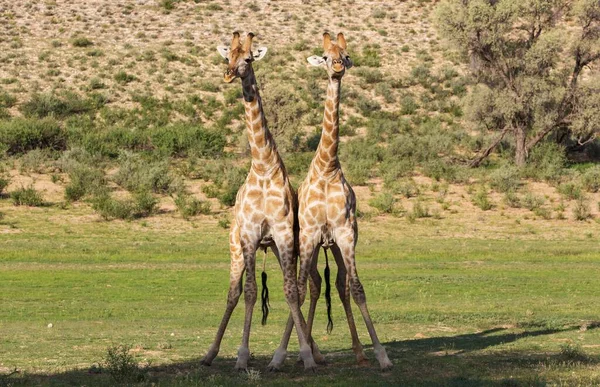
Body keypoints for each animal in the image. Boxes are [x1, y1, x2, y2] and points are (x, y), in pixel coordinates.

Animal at [199, 32, 316, 372]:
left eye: (248, 58)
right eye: (228, 55)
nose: (228, 74)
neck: (263, 167)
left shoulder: (283, 234)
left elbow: (291, 292)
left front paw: (306, 354)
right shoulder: (250, 235)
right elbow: (250, 292)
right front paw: (241, 356)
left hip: (279, 246)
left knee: (304, 287)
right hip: (235, 245)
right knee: (233, 291)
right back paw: (210, 353)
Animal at [268, 31, 394, 372]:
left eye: (347, 55)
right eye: (325, 56)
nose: (337, 66)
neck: (327, 167)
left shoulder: (346, 234)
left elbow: (357, 289)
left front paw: (381, 355)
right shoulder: (310, 235)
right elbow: (299, 290)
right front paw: (281, 354)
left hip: (335, 245)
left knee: (338, 285)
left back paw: (357, 352)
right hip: (312, 247)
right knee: (312, 285)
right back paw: (309, 351)